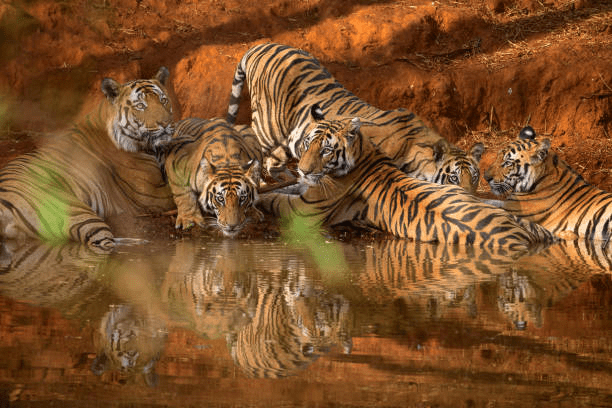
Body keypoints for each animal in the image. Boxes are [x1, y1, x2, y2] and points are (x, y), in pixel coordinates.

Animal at [227, 41, 486, 193]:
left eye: (474, 178)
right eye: (453, 178)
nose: (471, 197)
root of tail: (262, 46)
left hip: (287, 139)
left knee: (275, 162)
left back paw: (289, 178)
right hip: (267, 126)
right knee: (256, 150)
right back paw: (259, 182)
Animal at [256, 111, 556, 252]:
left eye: (326, 150)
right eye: (307, 143)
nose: (302, 169)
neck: (364, 151)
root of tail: (518, 237)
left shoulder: (303, 209)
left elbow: (274, 199)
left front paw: (257, 197)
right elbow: (287, 187)